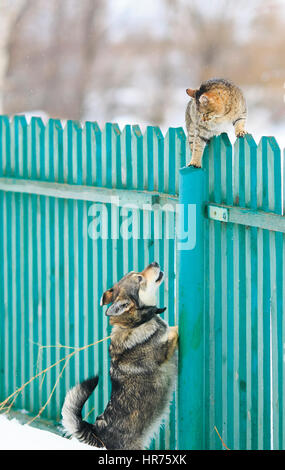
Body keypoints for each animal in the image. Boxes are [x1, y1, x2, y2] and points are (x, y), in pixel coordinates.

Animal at [61, 262, 178, 450]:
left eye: (136, 272)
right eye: (139, 278)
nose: (154, 263)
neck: (137, 323)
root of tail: (97, 432)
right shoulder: (166, 349)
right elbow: (174, 330)